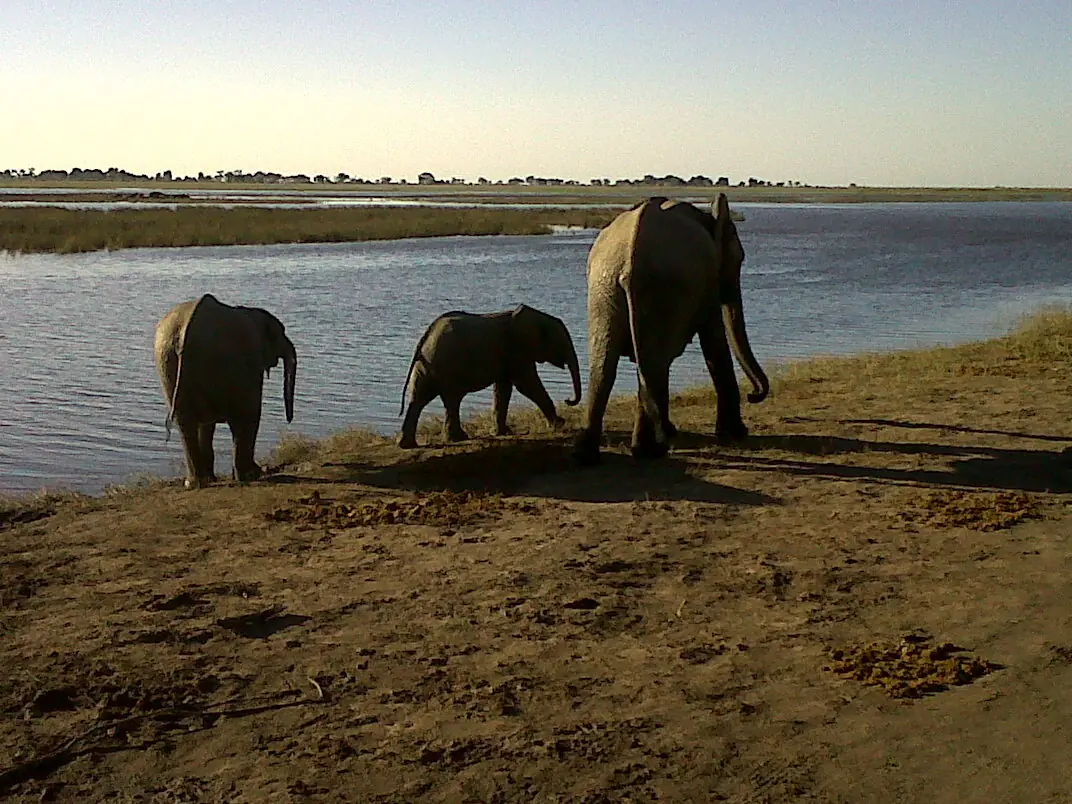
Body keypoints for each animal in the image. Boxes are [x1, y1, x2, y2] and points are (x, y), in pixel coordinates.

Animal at [153, 293, 297, 488]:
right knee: (241, 417)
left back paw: (196, 483)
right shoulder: (251, 360)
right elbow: (251, 414)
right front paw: (254, 475)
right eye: (281, 332)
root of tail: (187, 329)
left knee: (185, 422)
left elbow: (208, 425)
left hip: (168, 360)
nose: (289, 420)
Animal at [397, 304, 582, 448]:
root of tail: (426, 337)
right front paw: (560, 424)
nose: (568, 399)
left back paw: (407, 444)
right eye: (562, 343)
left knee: (418, 398)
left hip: (426, 365)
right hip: (447, 364)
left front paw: (502, 432)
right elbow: (526, 384)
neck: (538, 317)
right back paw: (458, 438)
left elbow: (503, 388)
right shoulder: (517, 350)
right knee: (451, 399)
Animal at [572, 194, 769, 466]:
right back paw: (654, 447)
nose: (754, 394)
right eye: (739, 259)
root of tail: (630, 253)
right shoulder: (708, 284)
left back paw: (591, 456)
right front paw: (735, 435)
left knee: (608, 365)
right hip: (661, 288)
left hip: (605, 288)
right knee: (656, 360)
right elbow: (715, 343)